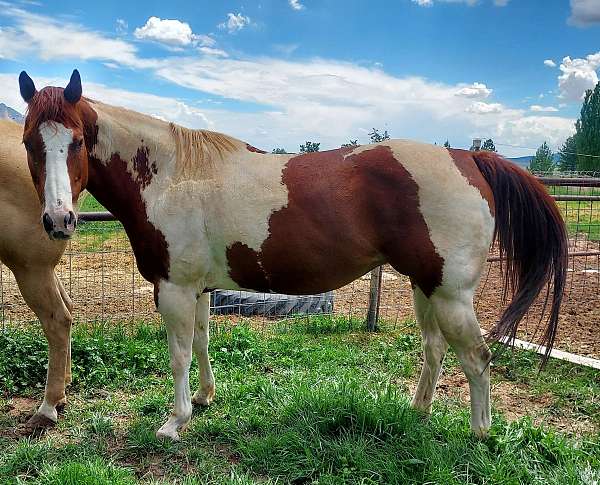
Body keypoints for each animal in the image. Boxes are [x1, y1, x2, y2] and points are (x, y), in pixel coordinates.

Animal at [17, 70, 568, 440]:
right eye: (28, 143)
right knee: (435, 349)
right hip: (423, 286)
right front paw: (204, 399)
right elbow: (201, 344)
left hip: (451, 295)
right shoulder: (198, 289)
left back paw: (478, 435)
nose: (59, 221)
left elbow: (178, 355)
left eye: (76, 142)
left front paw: (175, 422)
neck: (173, 175)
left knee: (476, 358)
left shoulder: (173, 289)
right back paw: (418, 412)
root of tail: (468, 157)